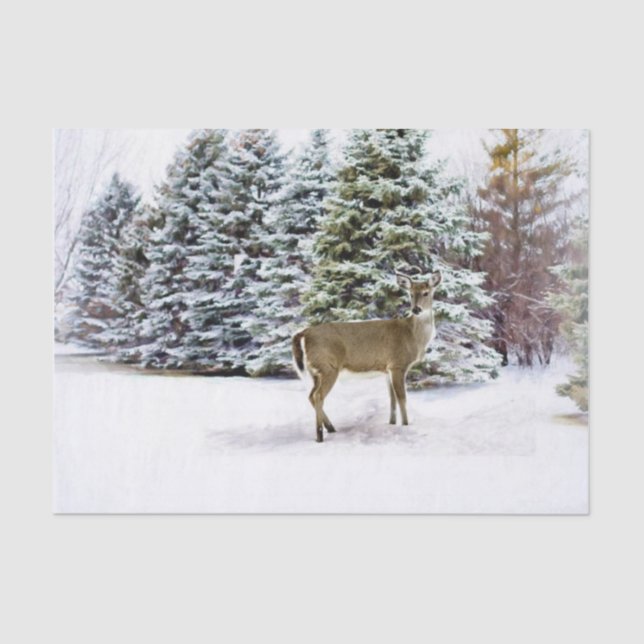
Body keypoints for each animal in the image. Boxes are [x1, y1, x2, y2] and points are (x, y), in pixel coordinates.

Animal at [292, 268, 442, 442]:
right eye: (410, 293)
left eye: (426, 293)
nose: (416, 309)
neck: (412, 335)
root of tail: (304, 333)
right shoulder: (398, 364)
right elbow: (402, 398)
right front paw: (405, 425)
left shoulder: (387, 369)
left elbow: (392, 399)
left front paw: (392, 423)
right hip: (328, 366)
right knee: (318, 396)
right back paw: (320, 435)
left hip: (315, 371)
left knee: (311, 396)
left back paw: (331, 428)